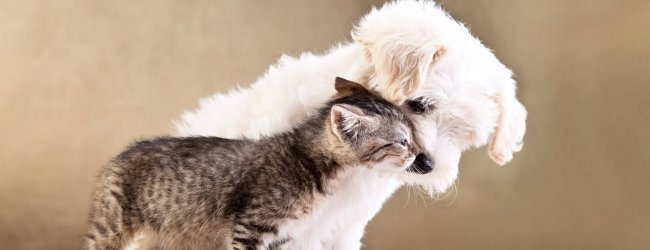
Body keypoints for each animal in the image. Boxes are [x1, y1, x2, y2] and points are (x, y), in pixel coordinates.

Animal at [83, 77, 418, 249]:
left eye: (412, 135)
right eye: (402, 141)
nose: (418, 154)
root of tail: (121, 154)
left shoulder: (282, 237)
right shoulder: (250, 226)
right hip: (112, 226)